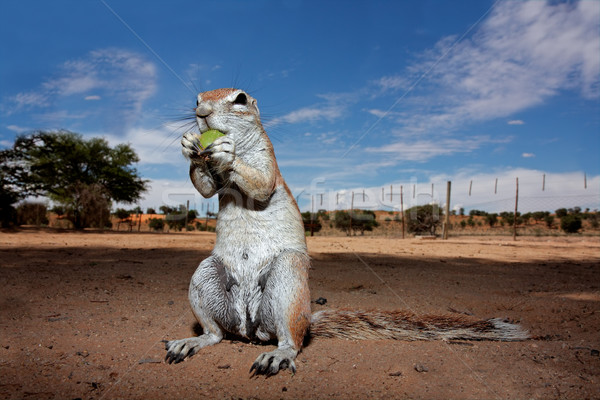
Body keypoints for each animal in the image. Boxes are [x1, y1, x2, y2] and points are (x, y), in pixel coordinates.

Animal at [164, 87, 528, 376]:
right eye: (196, 99)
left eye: (240, 99)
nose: (201, 113)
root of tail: (251, 328)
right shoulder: (212, 181)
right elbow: (206, 189)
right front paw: (188, 146)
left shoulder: (268, 162)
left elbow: (262, 182)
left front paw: (227, 152)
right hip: (207, 275)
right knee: (216, 333)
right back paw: (191, 342)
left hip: (287, 277)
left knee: (291, 340)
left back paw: (277, 355)